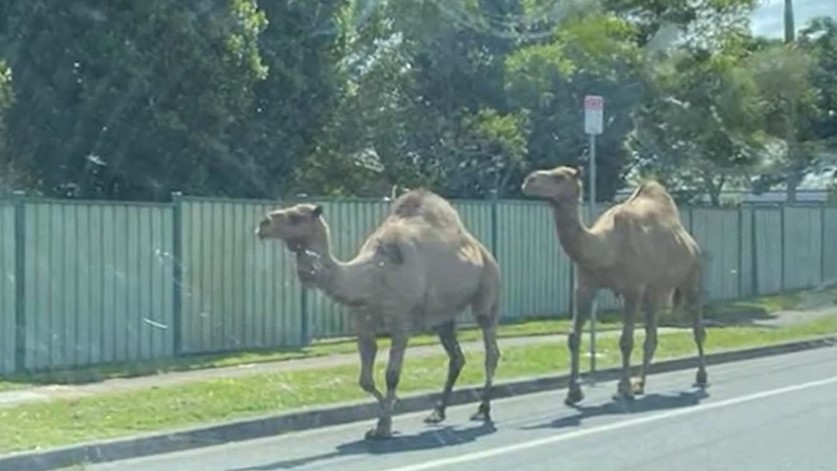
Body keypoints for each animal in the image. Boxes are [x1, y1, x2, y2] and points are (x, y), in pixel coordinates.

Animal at [255, 190, 500, 440]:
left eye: (295, 217)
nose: (263, 224)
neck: (371, 276)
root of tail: (482, 251)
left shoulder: (401, 324)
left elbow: (392, 374)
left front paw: (384, 426)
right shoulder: (363, 325)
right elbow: (364, 380)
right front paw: (388, 411)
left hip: (487, 292)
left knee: (491, 349)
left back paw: (483, 410)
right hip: (443, 318)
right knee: (456, 357)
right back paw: (437, 413)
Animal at [524, 166, 704, 406]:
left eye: (560, 177)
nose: (529, 180)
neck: (605, 248)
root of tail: (691, 243)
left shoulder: (633, 289)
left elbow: (626, 341)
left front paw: (622, 389)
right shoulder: (585, 287)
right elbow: (573, 338)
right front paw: (573, 393)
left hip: (691, 277)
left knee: (697, 327)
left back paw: (701, 377)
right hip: (656, 291)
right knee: (651, 336)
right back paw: (640, 384)